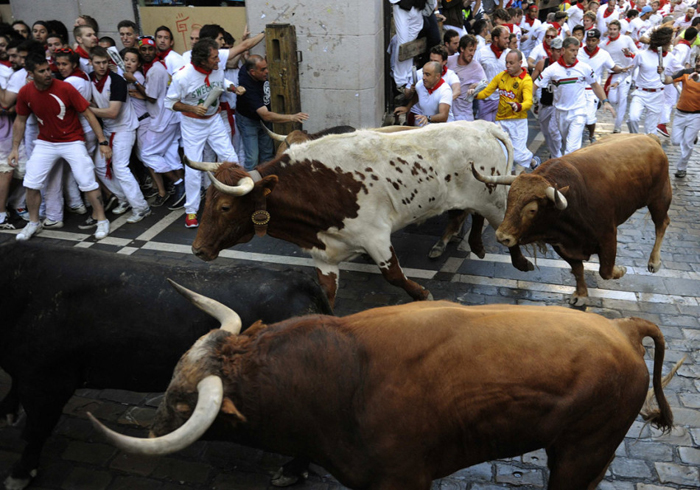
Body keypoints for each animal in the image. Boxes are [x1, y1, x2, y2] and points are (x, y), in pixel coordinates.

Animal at [0, 242, 330, 490]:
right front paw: (7, 412)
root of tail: (298, 280)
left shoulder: (47, 383)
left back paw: (291, 471)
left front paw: (19, 473)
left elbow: (36, 430)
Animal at [87, 284, 672, 490]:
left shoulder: (402, 481)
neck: (340, 377)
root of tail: (623, 328)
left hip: (584, 452)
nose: (152, 428)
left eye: (182, 401)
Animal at [189, 121, 532, 306]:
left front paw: (422, 295)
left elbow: (394, 274)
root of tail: (480, 125)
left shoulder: (375, 236)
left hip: (493, 198)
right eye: (207, 200)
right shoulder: (324, 253)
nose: (197, 249)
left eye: (224, 207)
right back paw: (476, 245)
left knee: (503, 227)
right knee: (472, 216)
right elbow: (326, 292)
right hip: (482, 195)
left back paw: (520, 262)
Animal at [470, 134, 672, 306]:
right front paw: (581, 294)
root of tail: (650, 138)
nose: (501, 236)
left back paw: (654, 262)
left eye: (532, 209)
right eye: (509, 199)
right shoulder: (562, 246)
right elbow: (578, 270)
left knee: (662, 224)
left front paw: (620, 270)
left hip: (659, 199)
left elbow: (606, 271)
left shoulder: (608, 236)